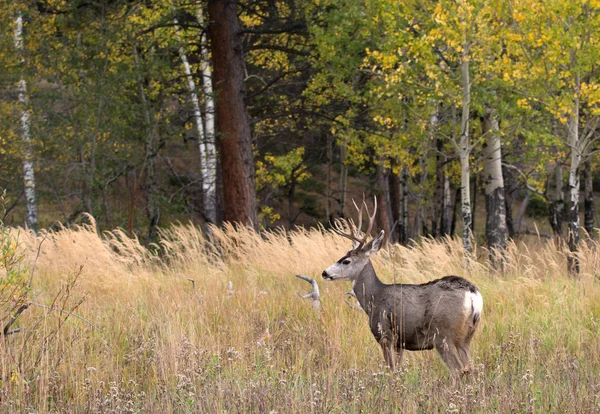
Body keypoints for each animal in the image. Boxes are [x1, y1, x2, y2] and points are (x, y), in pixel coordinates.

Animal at [324, 197, 482, 378]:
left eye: (346, 261)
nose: (324, 272)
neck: (373, 298)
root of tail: (472, 295)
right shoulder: (400, 342)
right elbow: (398, 370)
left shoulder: (385, 334)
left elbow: (391, 370)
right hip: (467, 336)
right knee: (470, 369)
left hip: (443, 334)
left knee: (457, 370)